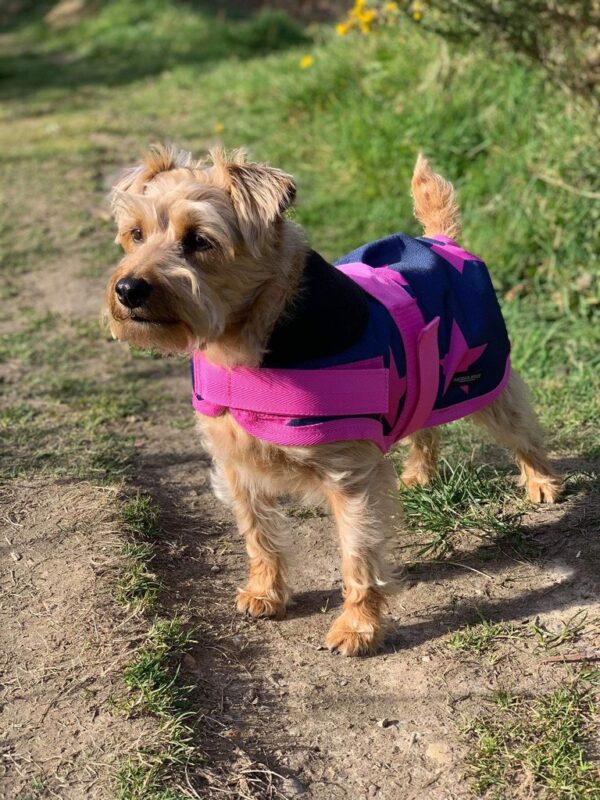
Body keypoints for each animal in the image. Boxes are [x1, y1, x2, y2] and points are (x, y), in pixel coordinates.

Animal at [105, 145, 560, 656]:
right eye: (135, 233)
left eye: (199, 240)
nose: (128, 289)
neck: (251, 342)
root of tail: (441, 241)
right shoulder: (236, 467)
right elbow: (258, 535)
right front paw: (265, 592)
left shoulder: (351, 479)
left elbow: (358, 557)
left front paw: (358, 628)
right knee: (425, 424)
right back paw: (421, 474)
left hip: (484, 377)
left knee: (521, 427)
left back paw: (541, 481)